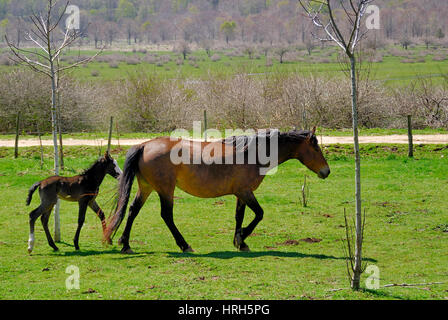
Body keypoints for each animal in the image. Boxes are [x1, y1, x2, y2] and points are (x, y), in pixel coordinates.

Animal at [104, 127, 328, 252]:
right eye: (316, 148)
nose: (327, 171)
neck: (252, 154)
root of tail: (144, 145)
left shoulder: (241, 194)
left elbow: (239, 216)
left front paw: (240, 242)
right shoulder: (246, 192)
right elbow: (259, 214)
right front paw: (242, 237)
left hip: (147, 187)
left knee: (132, 210)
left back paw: (125, 244)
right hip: (165, 190)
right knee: (166, 215)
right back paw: (184, 245)